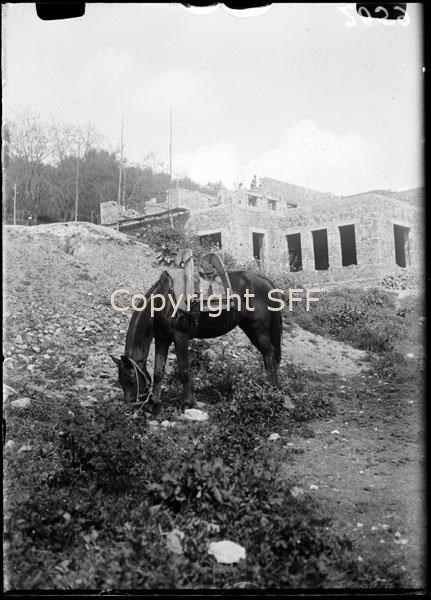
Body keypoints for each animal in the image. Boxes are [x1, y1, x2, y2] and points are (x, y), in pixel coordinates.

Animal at [110, 270, 282, 413]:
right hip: (248, 327)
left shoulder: (180, 337)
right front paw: (154, 404)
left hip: (258, 329)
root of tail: (266, 281)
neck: (163, 302)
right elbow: (158, 371)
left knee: (269, 354)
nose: (130, 404)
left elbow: (184, 371)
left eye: (131, 378)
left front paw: (187, 403)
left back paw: (271, 390)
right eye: (120, 380)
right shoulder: (162, 339)